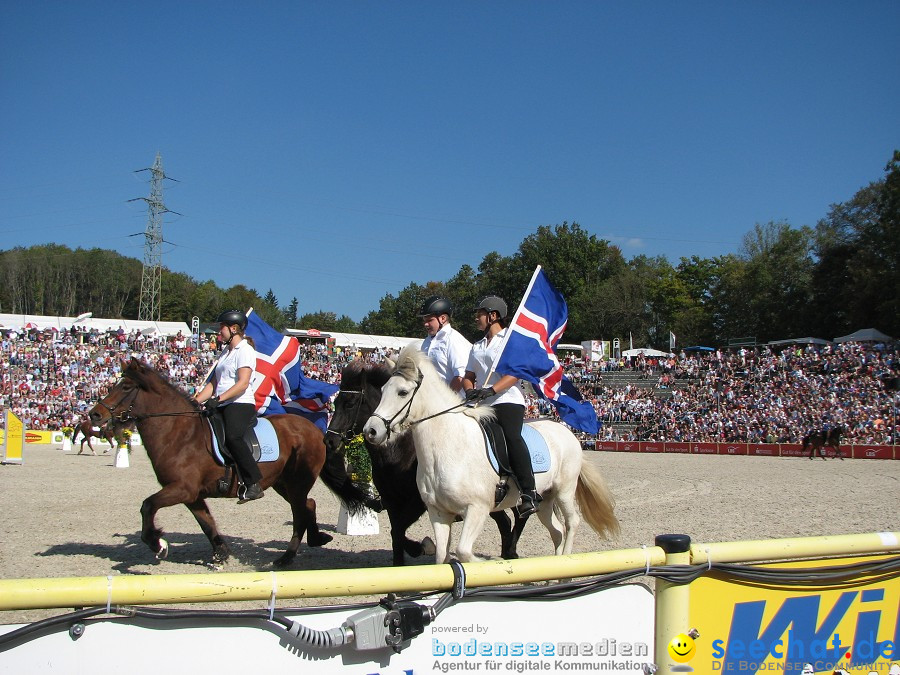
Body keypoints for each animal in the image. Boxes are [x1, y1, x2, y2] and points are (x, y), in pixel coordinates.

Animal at [88, 356, 370, 568]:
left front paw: (157, 543)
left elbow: (148, 506)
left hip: (297, 481)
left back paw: (288, 556)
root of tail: (314, 428)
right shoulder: (191, 494)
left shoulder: (182, 489)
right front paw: (220, 553)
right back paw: (315, 539)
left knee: (300, 511)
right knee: (307, 505)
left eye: (126, 387)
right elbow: (206, 522)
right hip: (281, 482)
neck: (179, 433)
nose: (95, 414)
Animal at [326, 362, 528, 568]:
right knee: (506, 521)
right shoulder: (392, 502)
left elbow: (398, 531)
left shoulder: (417, 503)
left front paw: (421, 547)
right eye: (335, 402)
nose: (329, 440)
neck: (397, 453)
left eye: (350, 403)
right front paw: (402, 561)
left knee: (519, 515)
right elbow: (396, 535)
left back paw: (511, 551)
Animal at [360, 346, 620, 564]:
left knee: (571, 523)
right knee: (557, 531)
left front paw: (488, 564)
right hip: (545, 499)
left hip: (564, 491)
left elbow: (464, 552)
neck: (446, 446)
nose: (371, 431)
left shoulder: (477, 508)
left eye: (403, 392)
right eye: (382, 390)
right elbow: (442, 557)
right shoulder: (438, 512)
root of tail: (568, 433)